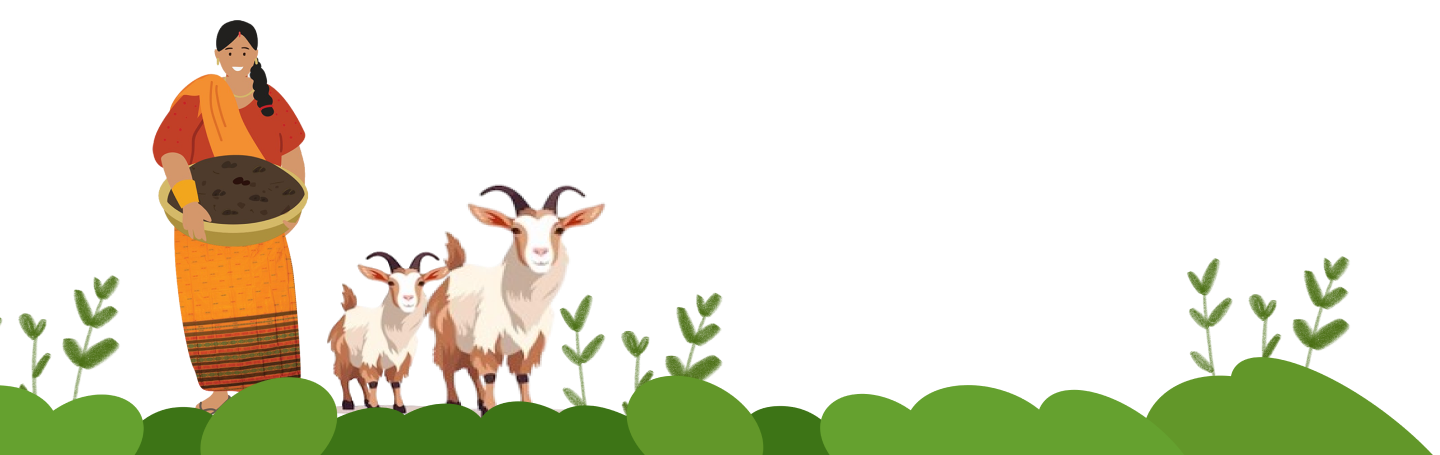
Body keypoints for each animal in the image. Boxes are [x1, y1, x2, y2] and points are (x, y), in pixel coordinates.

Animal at [327, 251, 448, 413]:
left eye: (421, 282)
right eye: (391, 283)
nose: (408, 298)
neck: (393, 334)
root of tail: (349, 308)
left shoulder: (402, 360)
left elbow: (396, 383)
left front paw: (400, 407)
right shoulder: (370, 359)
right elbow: (372, 383)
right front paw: (375, 408)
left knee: (359, 378)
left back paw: (366, 401)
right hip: (342, 357)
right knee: (343, 377)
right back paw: (348, 403)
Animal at [426, 184, 604, 413]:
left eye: (559, 230)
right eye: (515, 230)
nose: (540, 253)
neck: (521, 306)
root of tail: (457, 267)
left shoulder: (530, 345)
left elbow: (523, 378)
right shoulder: (487, 341)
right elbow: (489, 377)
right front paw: (490, 411)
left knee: (471, 369)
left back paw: (480, 402)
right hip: (446, 338)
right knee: (446, 366)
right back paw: (454, 402)